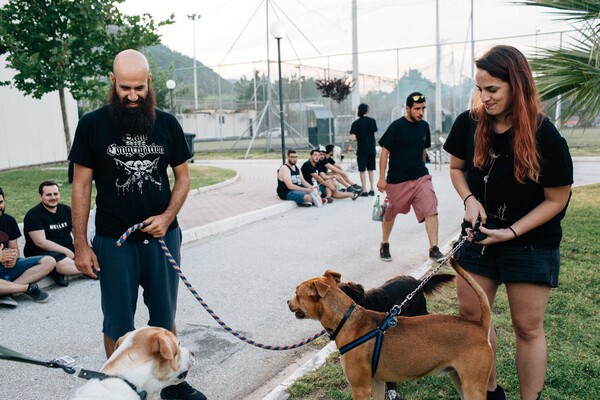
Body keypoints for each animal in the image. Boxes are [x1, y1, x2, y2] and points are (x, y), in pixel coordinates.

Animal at [290, 258, 492, 398]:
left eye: (297, 293)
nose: (287, 302)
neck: (348, 319)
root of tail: (480, 326)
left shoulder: (360, 389)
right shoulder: (377, 383)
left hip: (472, 387)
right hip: (459, 380)